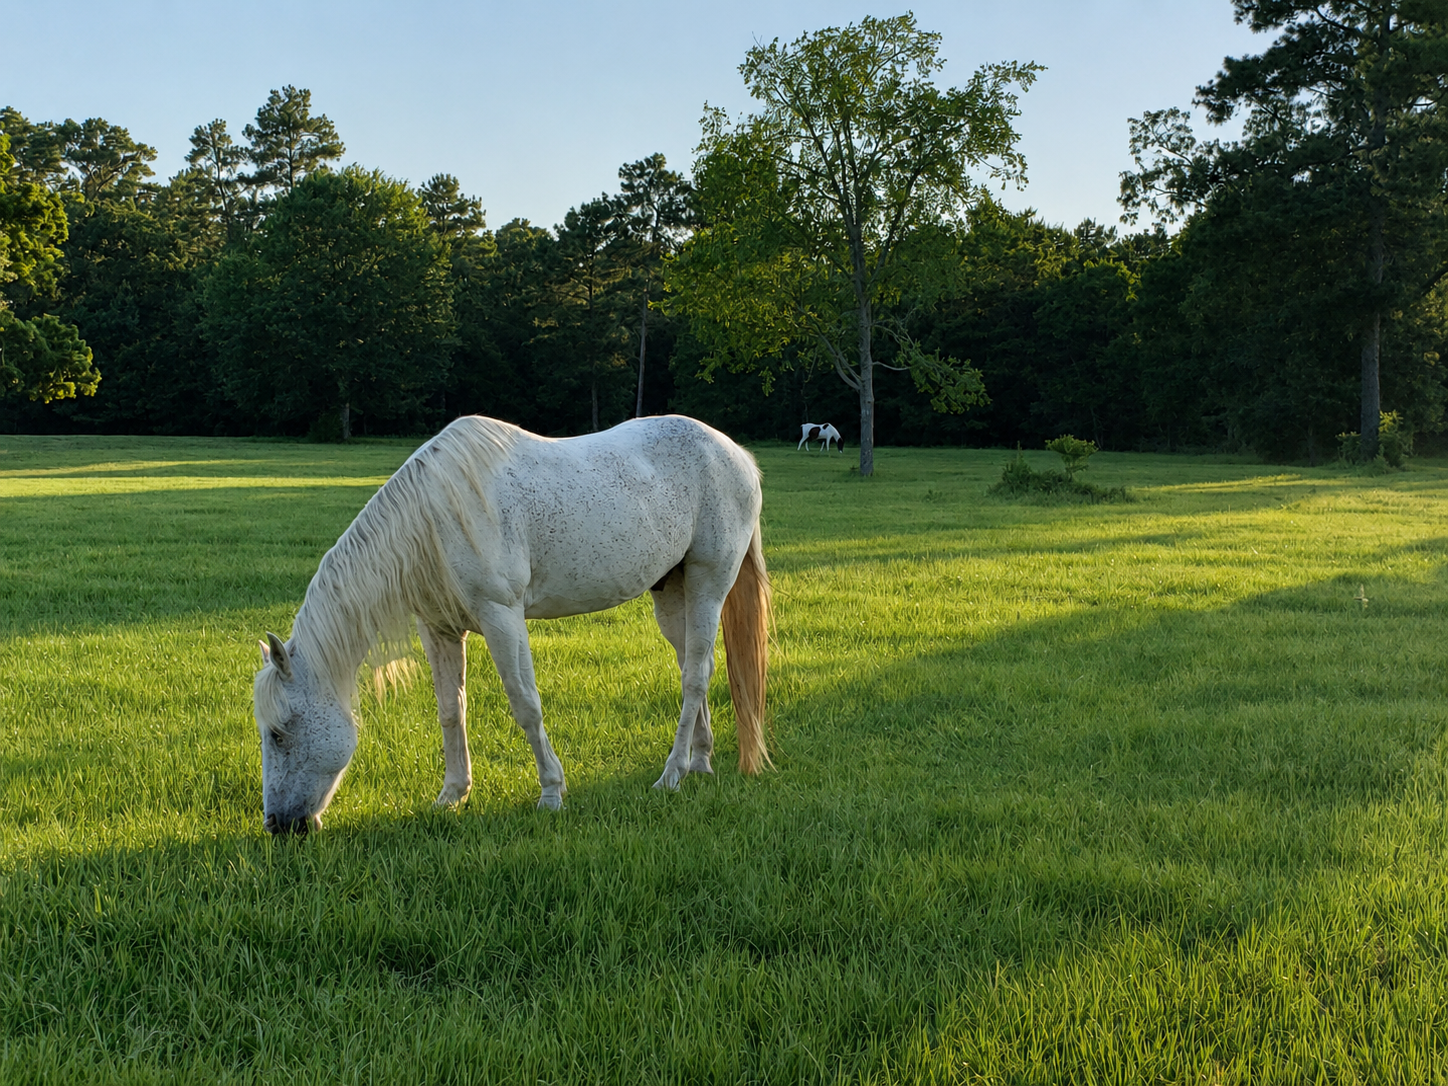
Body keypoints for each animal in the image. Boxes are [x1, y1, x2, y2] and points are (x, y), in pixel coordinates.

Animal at [253, 414, 771, 835]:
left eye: (279, 733)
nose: (278, 825)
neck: (434, 519)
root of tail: (737, 454)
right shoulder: (439, 630)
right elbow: (450, 710)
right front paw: (452, 794)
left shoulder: (502, 616)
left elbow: (525, 705)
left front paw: (551, 793)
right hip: (673, 594)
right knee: (694, 668)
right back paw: (699, 761)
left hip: (709, 582)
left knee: (695, 675)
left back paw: (671, 775)